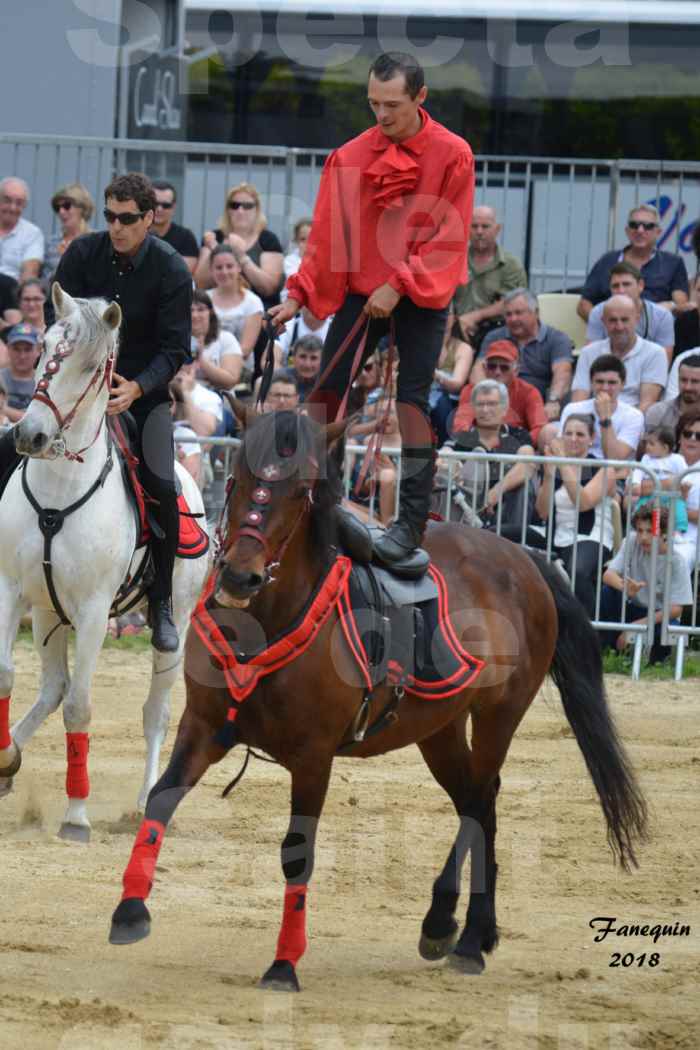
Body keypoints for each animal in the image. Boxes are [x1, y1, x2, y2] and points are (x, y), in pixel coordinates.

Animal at [0, 283, 209, 839]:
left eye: (94, 367)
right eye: (44, 347)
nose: (29, 435)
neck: (59, 495)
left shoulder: (94, 612)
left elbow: (80, 707)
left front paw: (76, 815)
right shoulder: (11, 591)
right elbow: (8, 676)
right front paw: (5, 758)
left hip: (177, 622)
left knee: (155, 711)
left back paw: (145, 802)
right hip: (47, 613)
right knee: (51, 687)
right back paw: (10, 757)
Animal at [107, 407, 650, 991]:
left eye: (302, 491)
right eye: (240, 478)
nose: (240, 574)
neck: (268, 621)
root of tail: (524, 558)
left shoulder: (314, 757)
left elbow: (297, 854)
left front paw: (284, 963)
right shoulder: (204, 726)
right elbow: (161, 798)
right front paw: (130, 909)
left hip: (498, 715)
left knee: (478, 803)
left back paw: (450, 925)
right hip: (439, 730)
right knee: (478, 802)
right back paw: (469, 934)